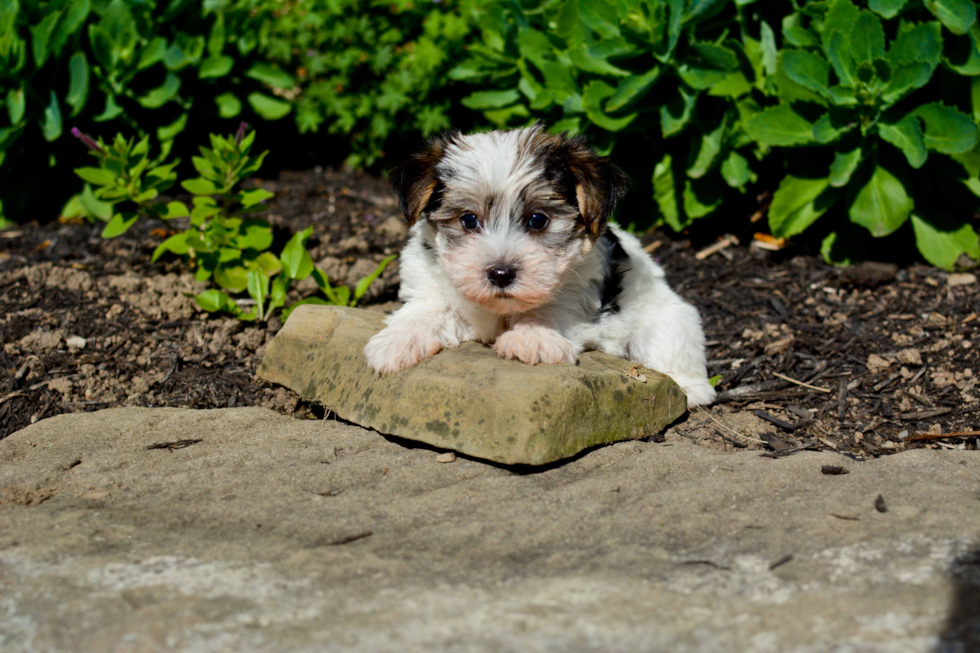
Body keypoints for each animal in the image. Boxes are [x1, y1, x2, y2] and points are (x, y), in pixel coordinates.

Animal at [364, 124, 716, 404]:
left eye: (538, 220)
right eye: (468, 220)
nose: (501, 273)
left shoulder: (579, 289)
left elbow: (552, 307)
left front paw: (532, 337)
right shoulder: (431, 285)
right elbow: (425, 311)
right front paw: (395, 342)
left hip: (668, 319)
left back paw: (690, 389)